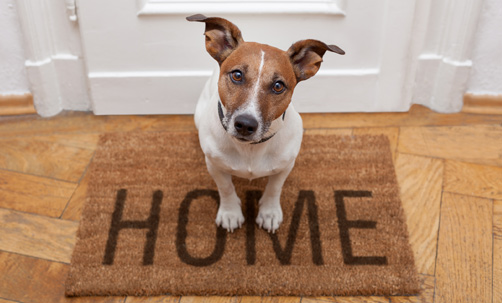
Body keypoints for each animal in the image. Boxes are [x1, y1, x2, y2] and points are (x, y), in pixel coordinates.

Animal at [186, 14, 344, 235]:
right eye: (237, 75)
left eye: (278, 86)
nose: (245, 124)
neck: (251, 149)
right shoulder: (214, 165)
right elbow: (226, 188)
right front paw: (230, 212)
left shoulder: (285, 166)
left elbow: (274, 189)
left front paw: (269, 213)